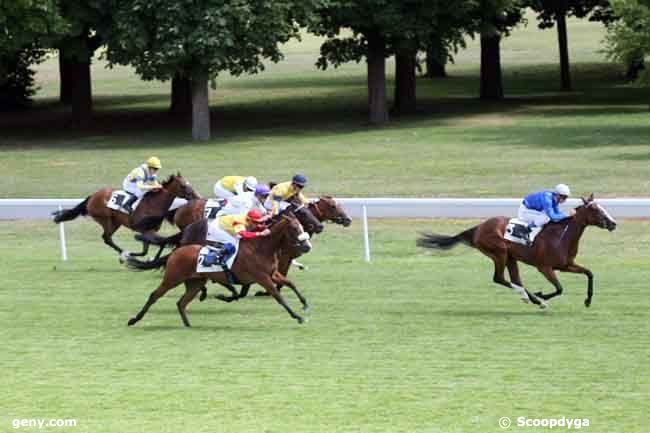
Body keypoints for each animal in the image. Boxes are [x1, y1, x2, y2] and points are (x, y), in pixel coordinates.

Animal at [126, 211, 312, 326]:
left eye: (302, 226)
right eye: (294, 228)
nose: (307, 246)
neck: (260, 248)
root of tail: (176, 252)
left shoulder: (272, 274)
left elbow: (290, 283)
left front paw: (305, 305)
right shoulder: (262, 277)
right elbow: (278, 295)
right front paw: (297, 317)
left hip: (195, 282)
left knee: (181, 303)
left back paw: (188, 324)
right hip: (172, 279)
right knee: (155, 295)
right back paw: (134, 319)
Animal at [418, 194, 616, 308]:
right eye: (594, 209)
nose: (613, 223)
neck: (562, 235)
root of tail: (479, 227)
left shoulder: (566, 265)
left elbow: (589, 273)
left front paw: (588, 300)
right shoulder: (544, 267)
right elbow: (559, 288)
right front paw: (541, 295)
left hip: (510, 257)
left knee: (514, 279)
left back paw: (529, 297)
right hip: (500, 252)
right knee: (499, 278)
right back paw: (531, 298)